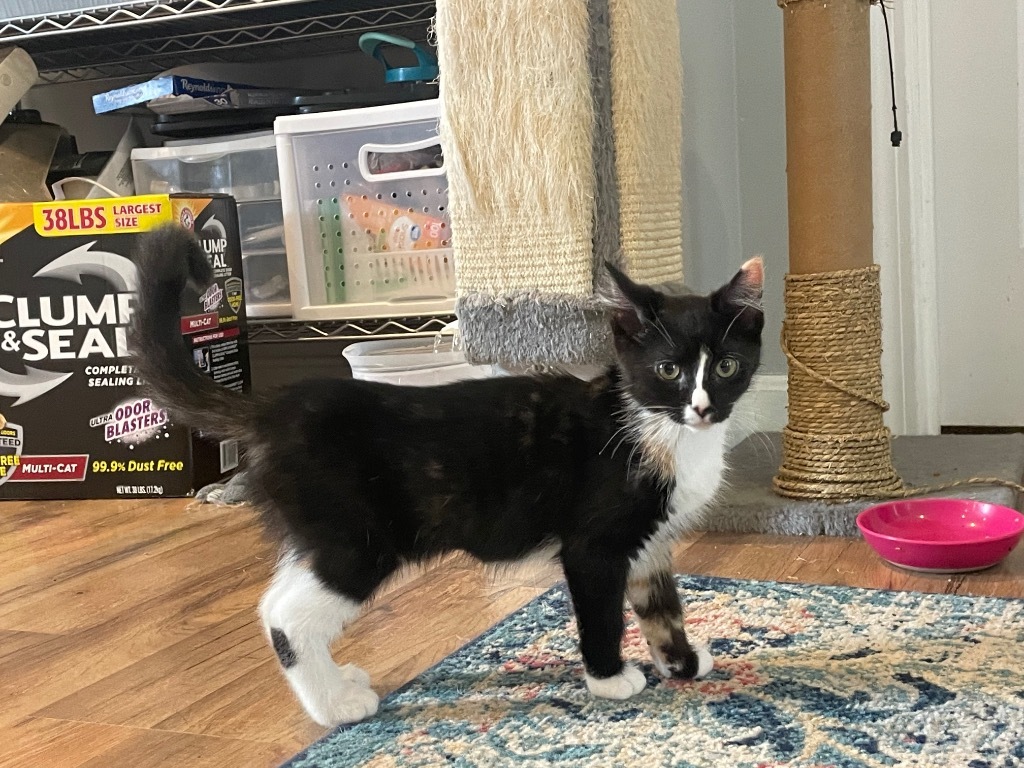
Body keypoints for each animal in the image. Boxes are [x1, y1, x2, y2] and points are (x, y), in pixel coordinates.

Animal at [128, 227, 761, 729]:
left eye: (727, 366)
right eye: (668, 370)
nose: (703, 407)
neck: (661, 428)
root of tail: (272, 408)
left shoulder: (651, 540)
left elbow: (661, 604)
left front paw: (681, 661)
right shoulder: (594, 543)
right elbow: (601, 611)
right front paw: (610, 680)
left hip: (320, 530)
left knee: (274, 600)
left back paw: (337, 684)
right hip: (362, 540)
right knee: (289, 615)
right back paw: (335, 707)